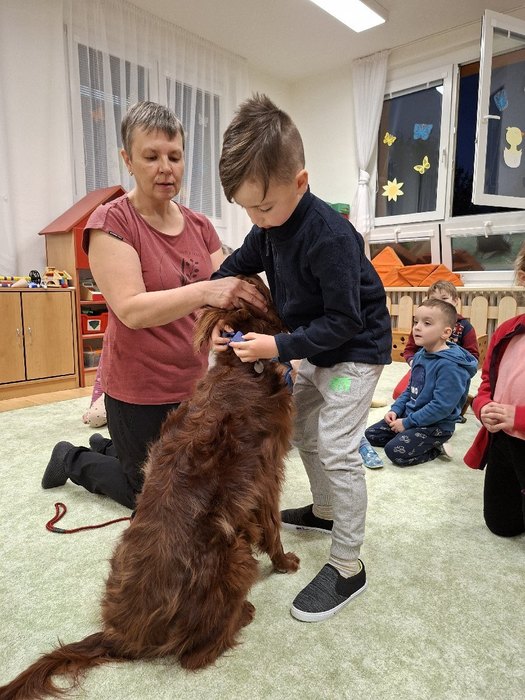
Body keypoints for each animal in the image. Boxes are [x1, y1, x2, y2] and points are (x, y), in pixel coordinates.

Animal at [0, 275, 299, 699]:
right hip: (236, 556)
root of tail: (120, 636)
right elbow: (272, 527)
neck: (244, 369)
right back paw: (243, 613)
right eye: (265, 291)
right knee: (196, 656)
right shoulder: (268, 477)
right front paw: (285, 562)